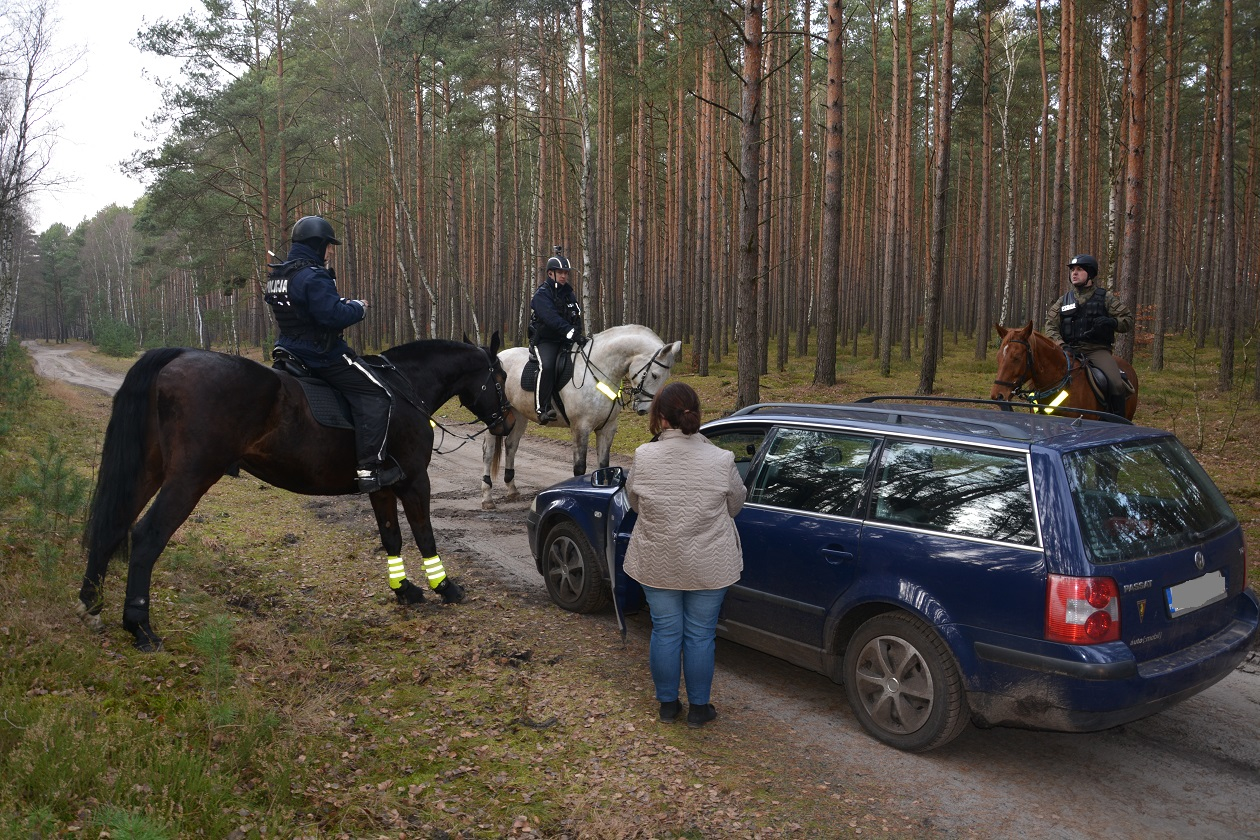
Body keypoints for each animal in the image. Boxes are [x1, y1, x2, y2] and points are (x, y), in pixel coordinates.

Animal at [81, 334, 514, 649]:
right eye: (500, 378)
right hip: (190, 477)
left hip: (148, 470)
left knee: (112, 525)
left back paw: (92, 604)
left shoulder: (381, 484)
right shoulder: (414, 480)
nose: (507, 422)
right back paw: (140, 627)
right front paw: (446, 587)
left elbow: (391, 535)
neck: (403, 388)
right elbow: (424, 535)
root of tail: (177, 357)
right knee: (146, 536)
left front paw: (404, 589)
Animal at [478, 324, 680, 508]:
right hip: (495, 420)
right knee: (488, 452)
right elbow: (580, 468)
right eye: (655, 375)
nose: (644, 409)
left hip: (519, 416)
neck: (599, 371)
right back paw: (487, 497)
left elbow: (604, 466)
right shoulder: (580, 427)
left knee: (511, 446)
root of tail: (499, 357)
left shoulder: (607, 429)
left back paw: (512, 488)